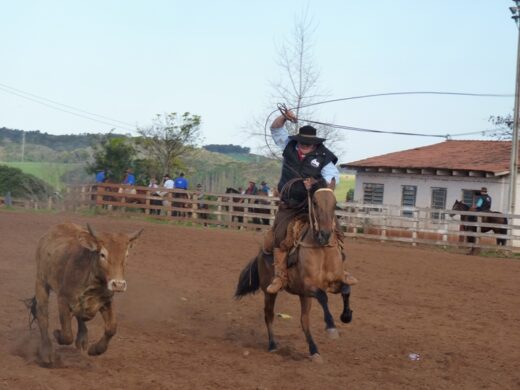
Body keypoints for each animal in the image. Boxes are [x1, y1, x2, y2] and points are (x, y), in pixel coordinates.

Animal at [28, 222, 142, 366]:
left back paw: (82, 339)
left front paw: (96, 349)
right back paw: (46, 353)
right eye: (102, 254)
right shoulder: (63, 299)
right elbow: (67, 334)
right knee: (42, 315)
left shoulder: (107, 301)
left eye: (126, 255)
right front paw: (57, 334)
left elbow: (111, 328)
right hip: (41, 282)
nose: (119, 284)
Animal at [236, 187, 354, 362]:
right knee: (269, 315)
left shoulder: (331, 284)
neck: (322, 251)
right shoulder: (308, 287)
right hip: (269, 292)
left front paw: (346, 316)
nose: (325, 234)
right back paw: (272, 345)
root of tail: (261, 252)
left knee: (304, 321)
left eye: (334, 204)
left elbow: (346, 289)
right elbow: (323, 297)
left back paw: (314, 350)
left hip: (304, 297)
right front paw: (331, 326)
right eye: (315, 203)